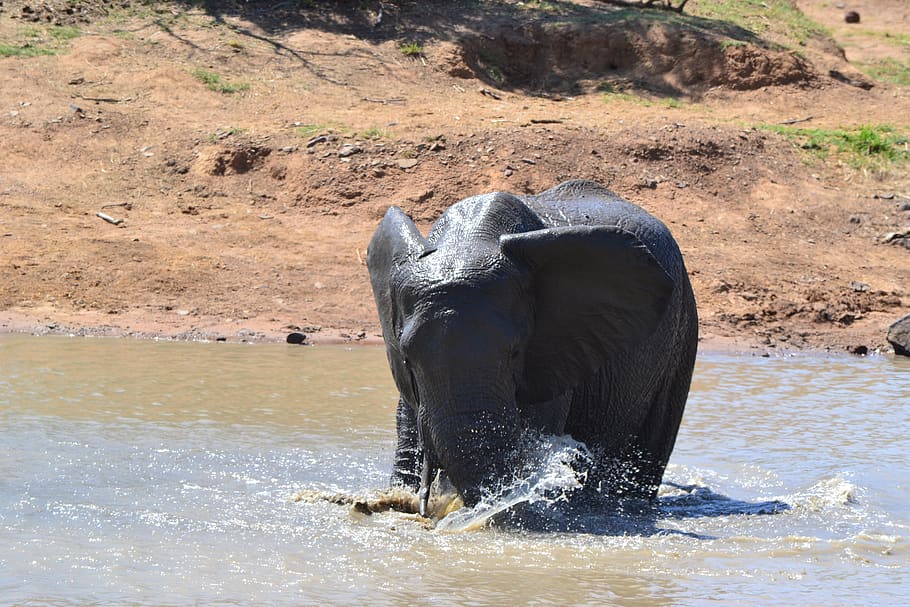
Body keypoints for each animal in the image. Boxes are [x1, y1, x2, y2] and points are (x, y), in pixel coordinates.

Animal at [367, 180, 698, 517]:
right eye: (407, 359)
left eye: (516, 353)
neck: (470, 239)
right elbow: (408, 422)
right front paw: (398, 499)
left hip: (683, 326)